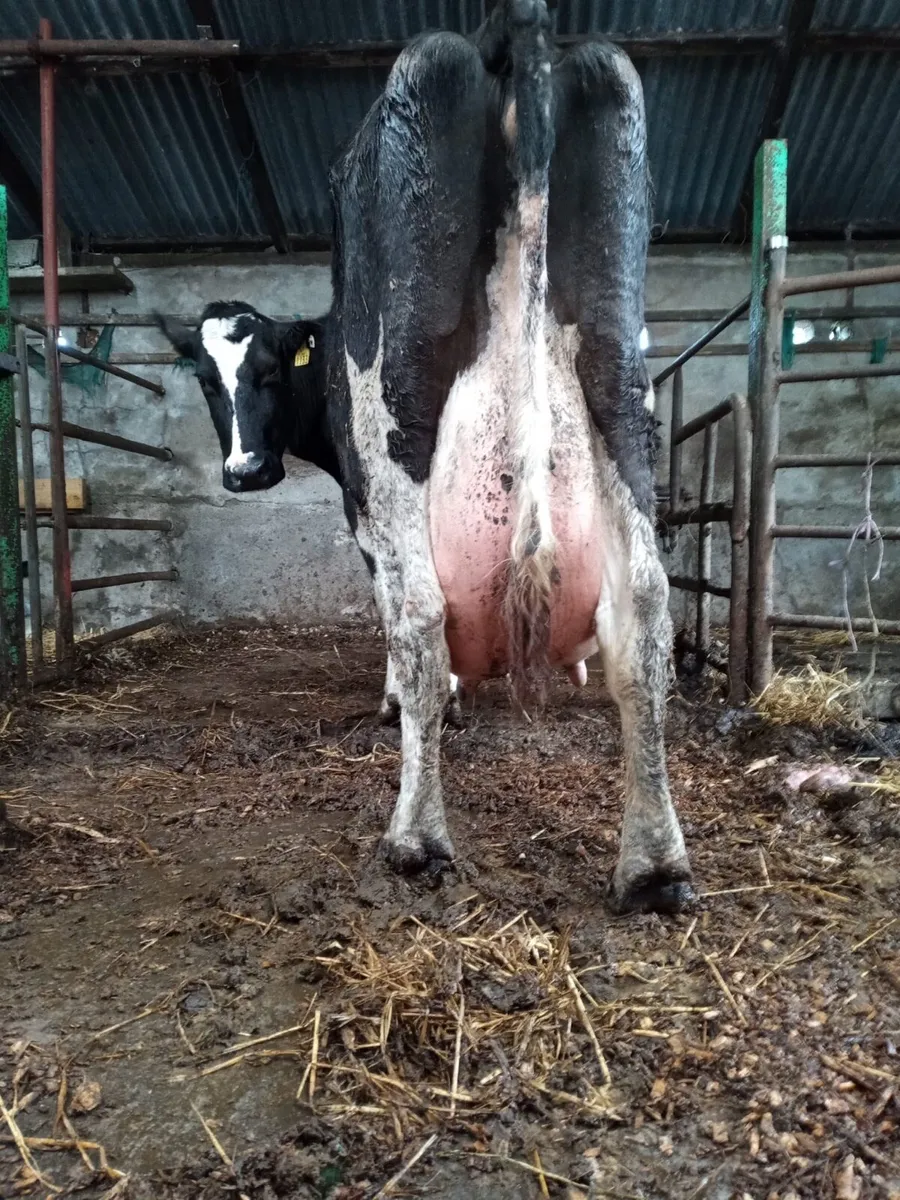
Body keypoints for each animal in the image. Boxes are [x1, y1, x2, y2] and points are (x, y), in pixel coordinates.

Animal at [172, 0, 695, 914]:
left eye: (265, 373)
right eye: (207, 380)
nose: (244, 473)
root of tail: (509, 27)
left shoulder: (362, 505)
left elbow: (390, 605)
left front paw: (415, 702)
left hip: (399, 401)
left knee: (418, 610)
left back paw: (416, 839)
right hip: (621, 379)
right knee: (645, 606)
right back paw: (654, 864)